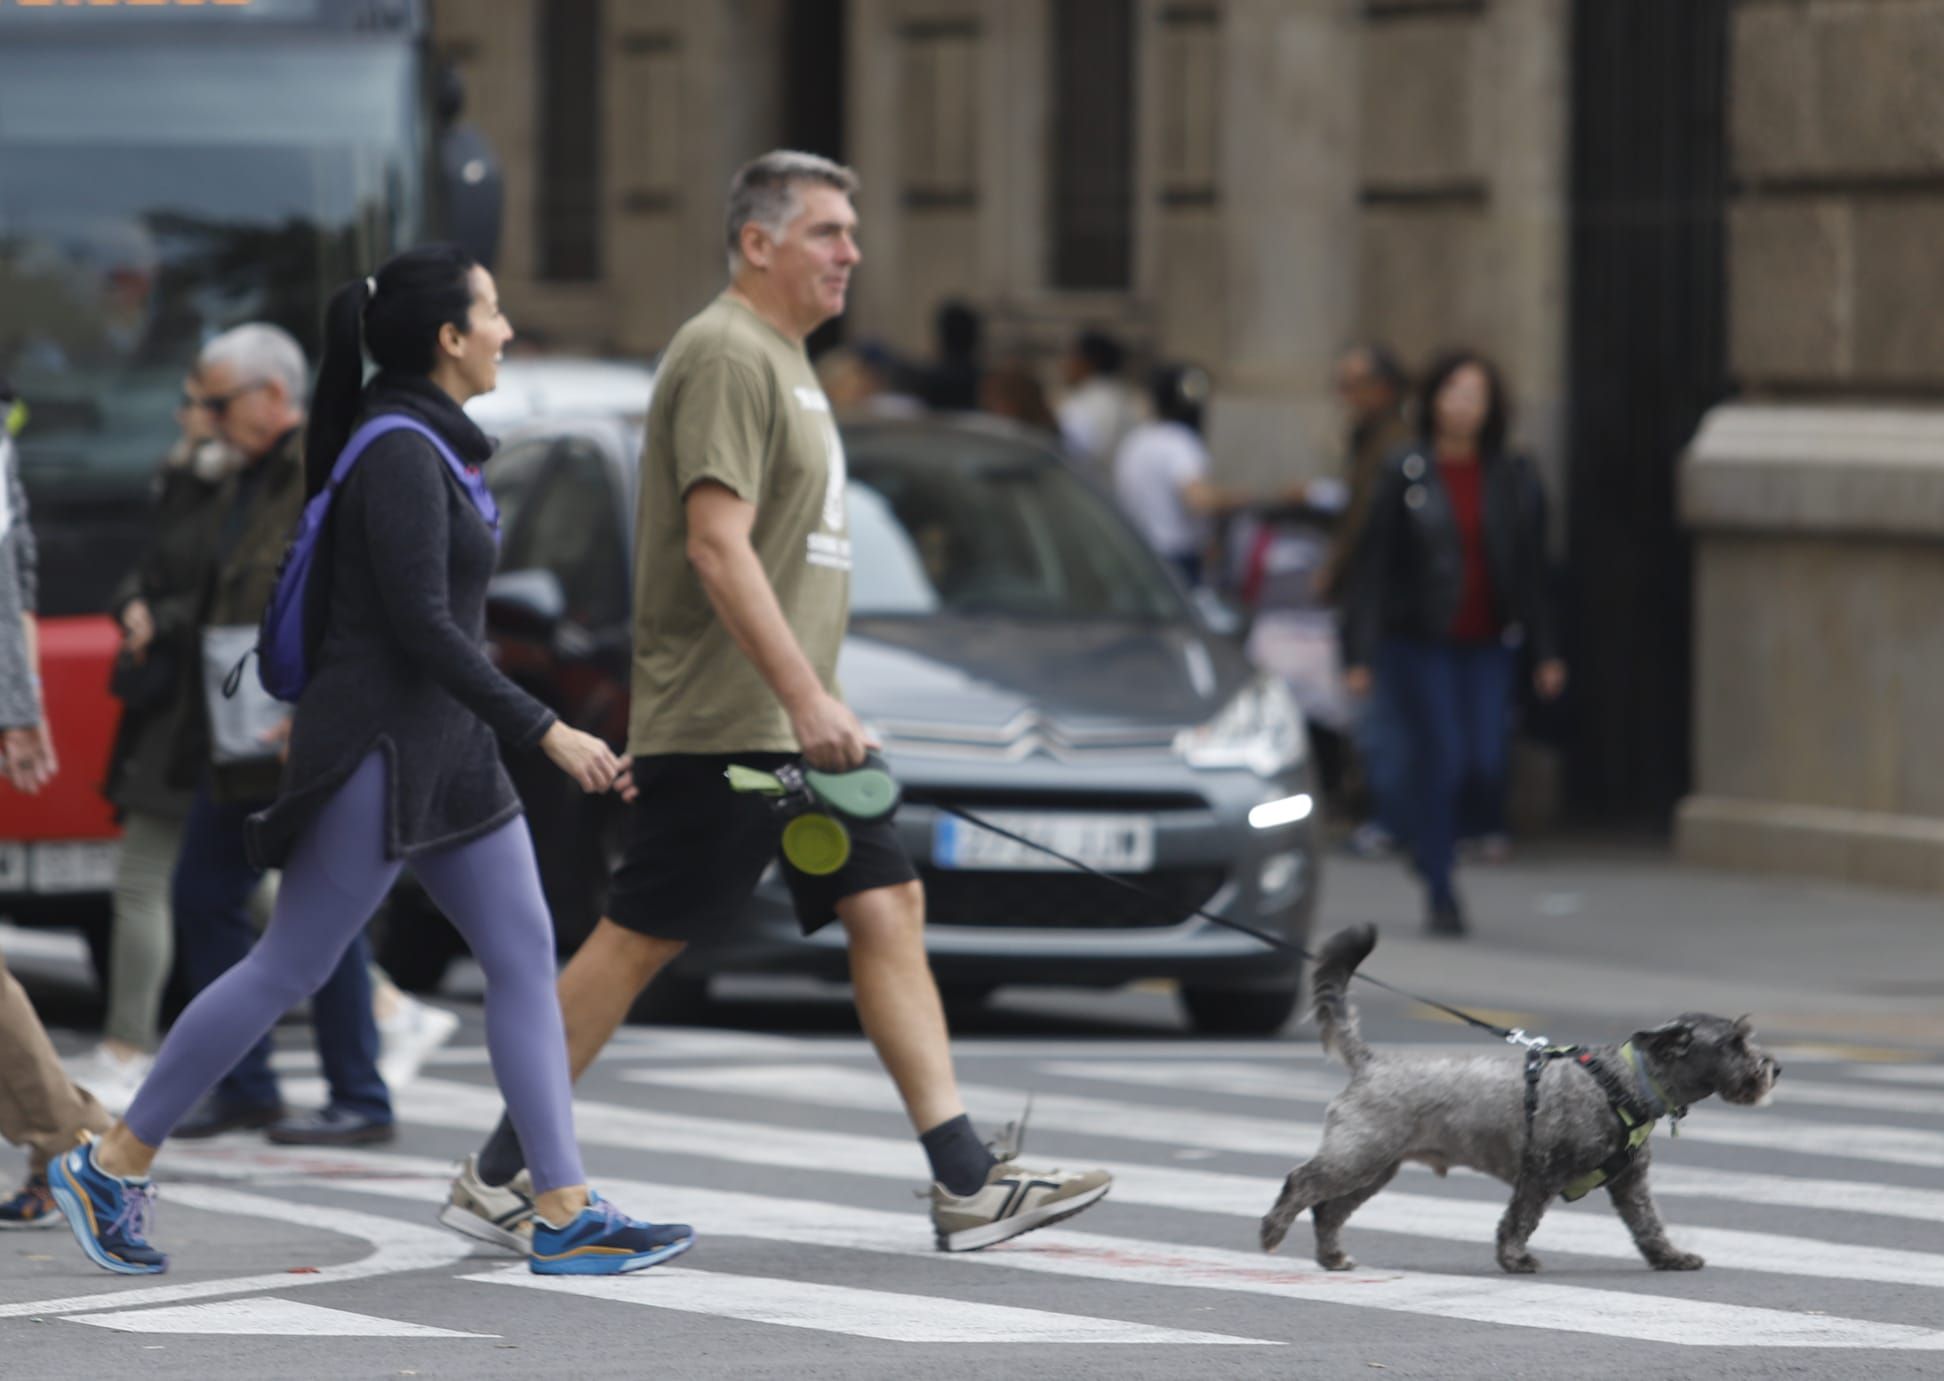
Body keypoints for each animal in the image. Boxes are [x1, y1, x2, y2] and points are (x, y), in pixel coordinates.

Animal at [1259, 925, 1780, 1283]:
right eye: (1734, 1043)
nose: (1773, 1068)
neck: (1623, 1081)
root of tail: (1370, 1062)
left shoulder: (1630, 1184)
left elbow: (1649, 1224)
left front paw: (1668, 1257)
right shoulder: (1540, 1173)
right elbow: (1519, 1220)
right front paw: (1515, 1258)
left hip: (1374, 1167)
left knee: (1329, 1211)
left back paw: (1331, 1255)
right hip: (1357, 1156)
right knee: (1301, 1183)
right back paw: (1272, 1231)